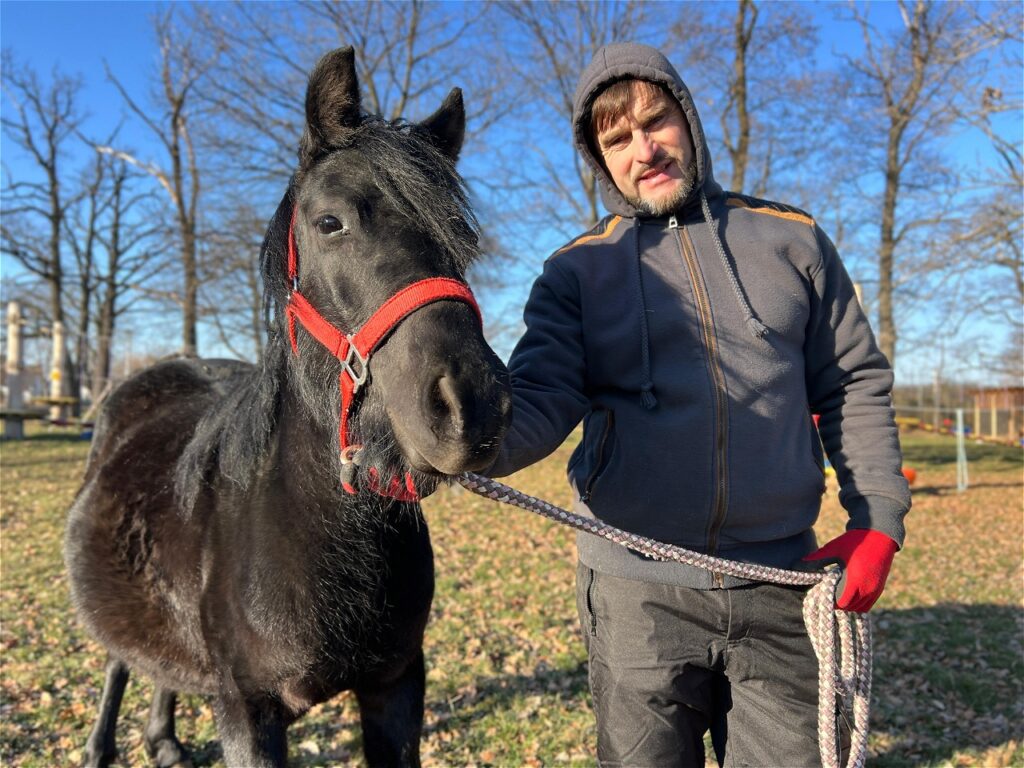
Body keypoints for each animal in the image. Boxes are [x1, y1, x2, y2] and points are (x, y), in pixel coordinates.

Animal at [65, 47, 511, 768]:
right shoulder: (248, 713)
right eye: (331, 222)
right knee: (118, 658)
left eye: (464, 240)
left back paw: (165, 741)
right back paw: (102, 746)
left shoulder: (396, 687)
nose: (472, 405)